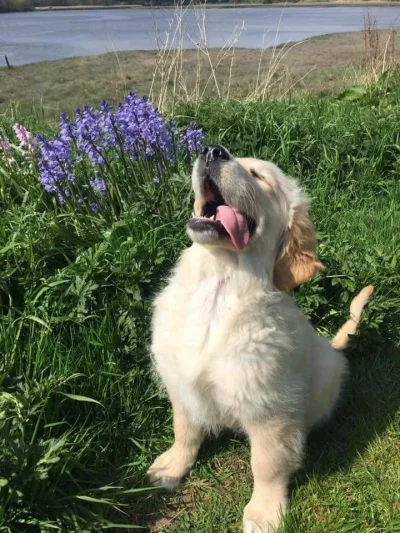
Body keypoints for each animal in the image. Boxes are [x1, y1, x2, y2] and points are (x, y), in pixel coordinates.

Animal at [148, 145, 374, 532]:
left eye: (260, 177)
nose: (212, 150)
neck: (219, 284)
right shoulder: (181, 384)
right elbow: (185, 429)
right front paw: (172, 465)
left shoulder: (271, 408)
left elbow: (267, 465)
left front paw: (264, 512)